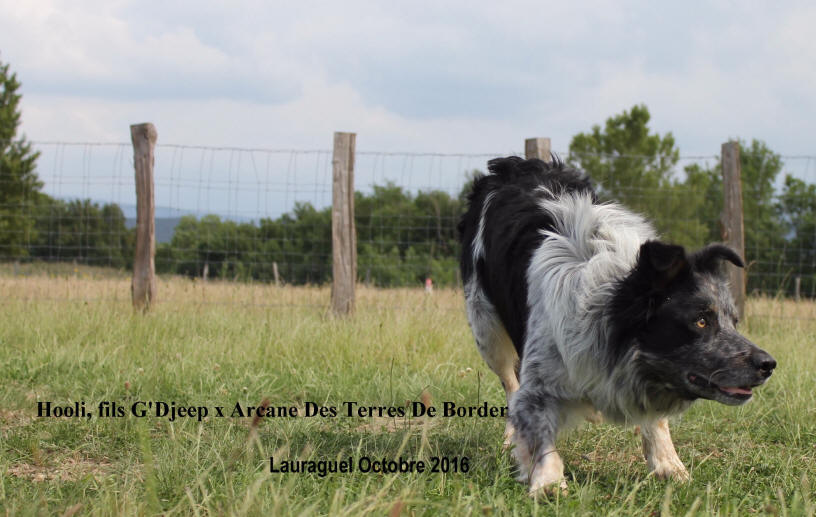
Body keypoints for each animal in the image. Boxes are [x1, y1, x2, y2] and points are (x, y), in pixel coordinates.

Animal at [460, 156, 776, 492]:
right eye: (701, 321)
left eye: (734, 321)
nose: (769, 364)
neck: (603, 301)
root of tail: (511, 165)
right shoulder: (539, 381)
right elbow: (538, 430)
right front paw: (548, 483)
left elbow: (656, 419)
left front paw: (668, 464)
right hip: (487, 331)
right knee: (510, 382)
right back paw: (510, 438)